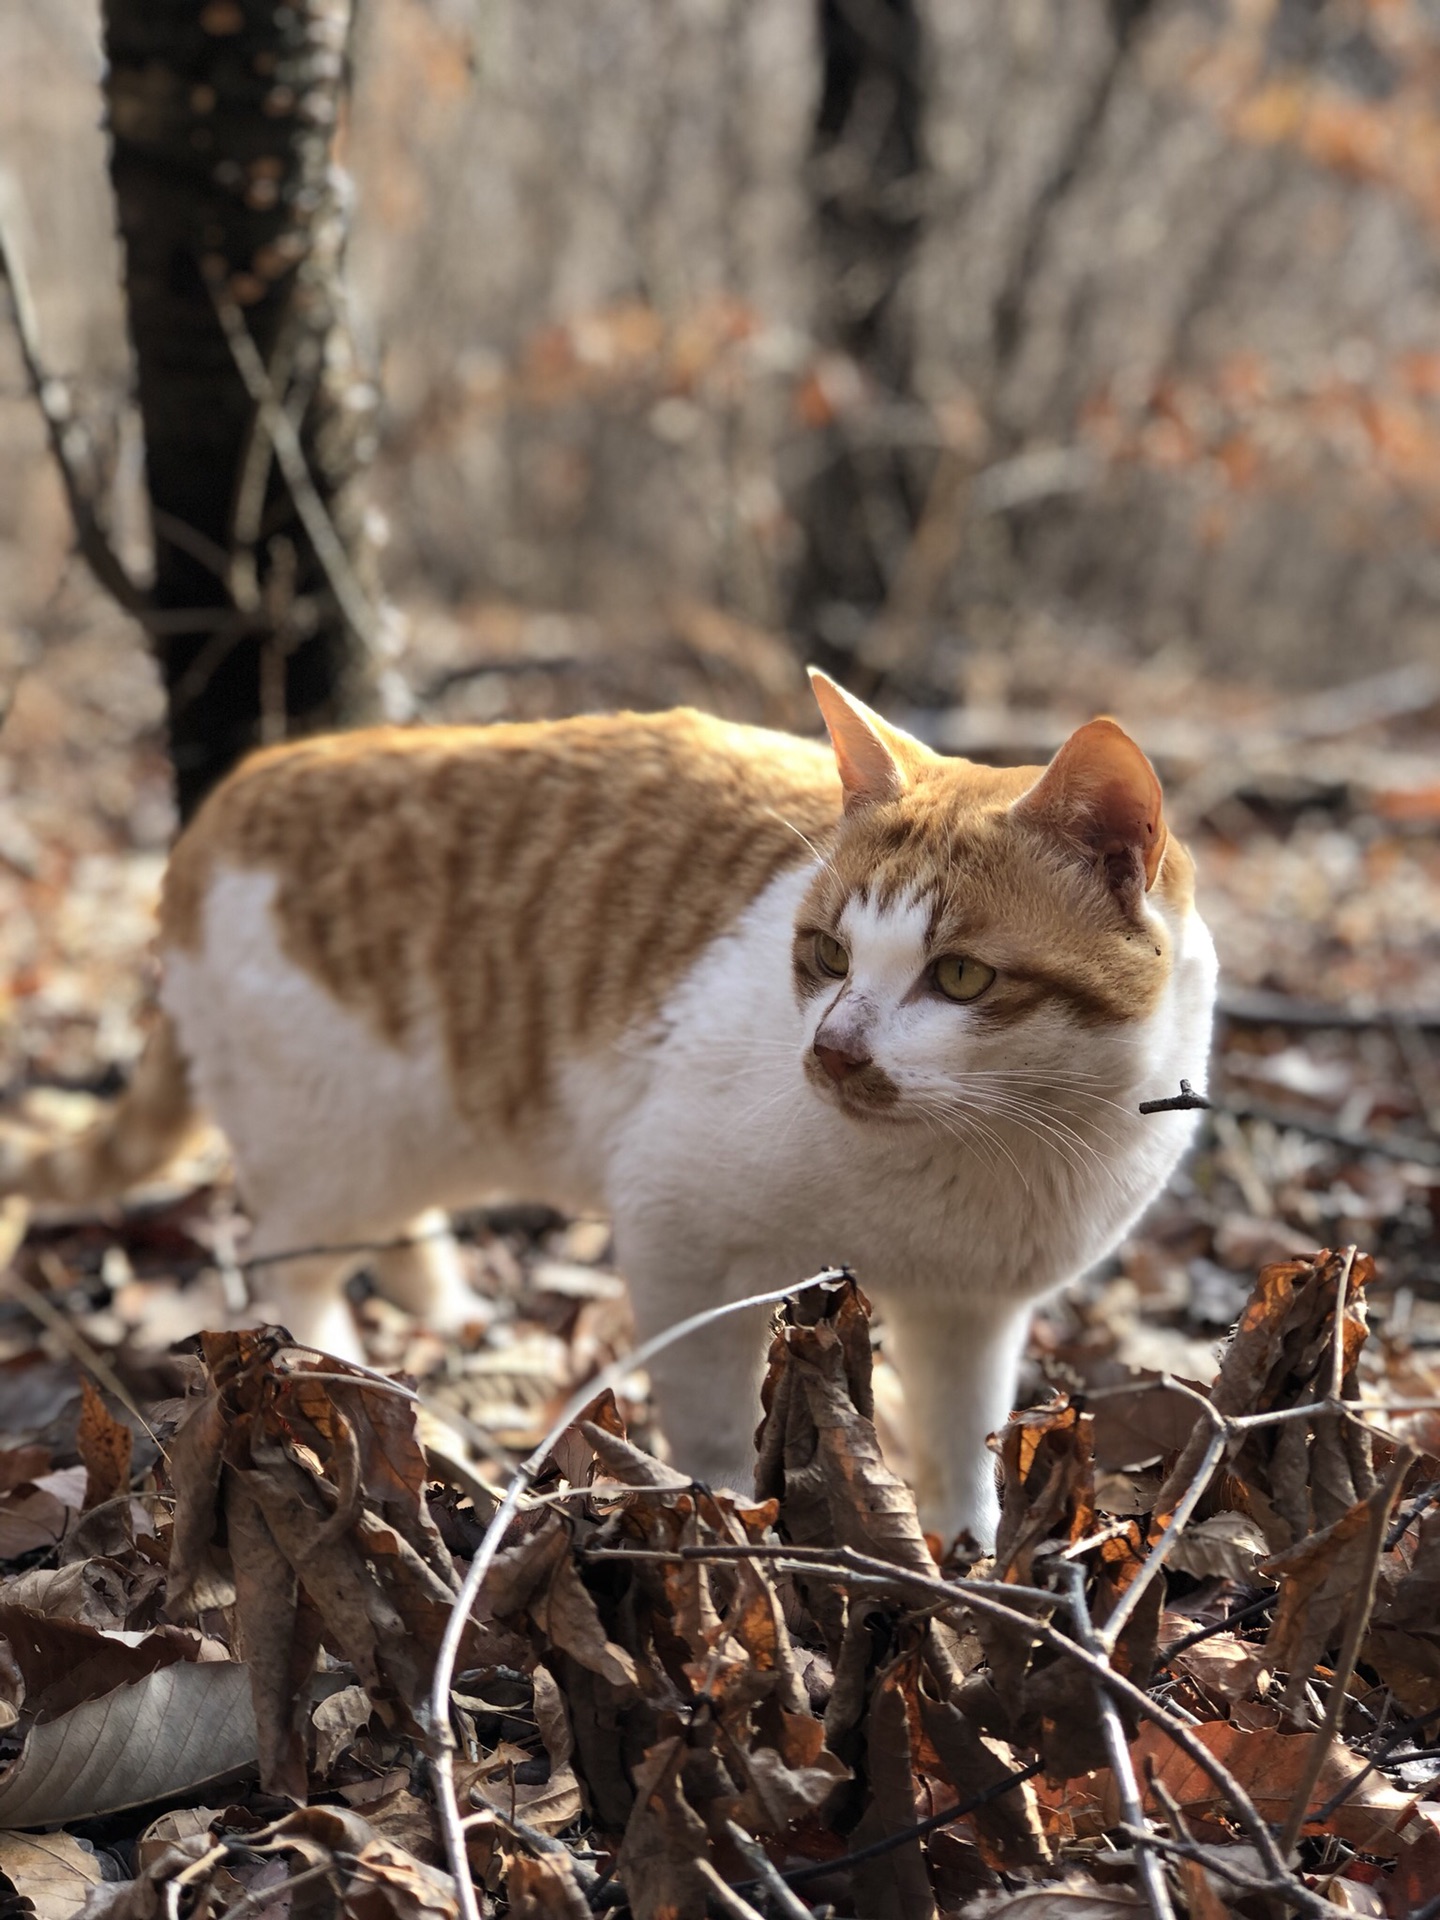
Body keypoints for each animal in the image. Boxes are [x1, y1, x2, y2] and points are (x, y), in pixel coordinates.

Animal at [2, 675, 1221, 1543]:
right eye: (827, 956)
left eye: (961, 978)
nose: (831, 1051)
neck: (989, 1151)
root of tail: (223, 804)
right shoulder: (681, 1234)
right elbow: (716, 1420)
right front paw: (734, 1523)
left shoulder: (975, 1310)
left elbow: (963, 1438)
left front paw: (968, 1551)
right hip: (328, 1143)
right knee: (287, 1259)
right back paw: (340, 1370)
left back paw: (443, 1307)